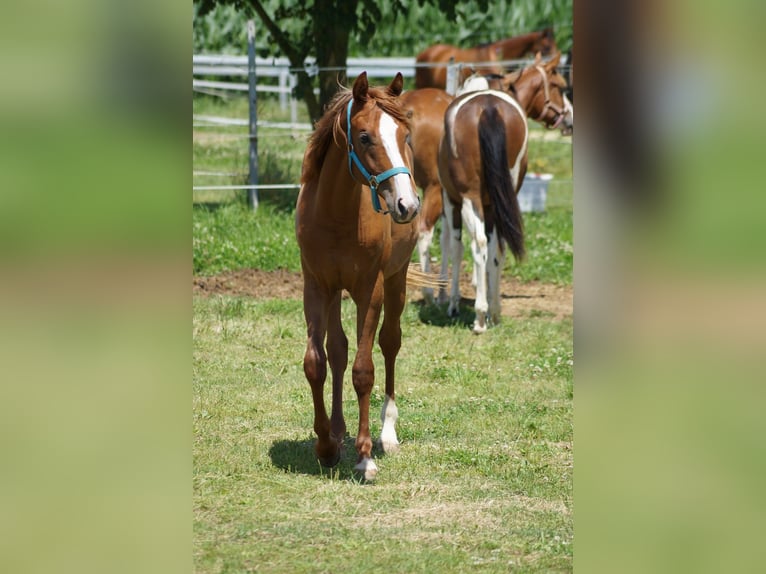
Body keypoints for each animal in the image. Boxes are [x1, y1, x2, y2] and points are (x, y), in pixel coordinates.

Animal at [296, 72, 424, 482]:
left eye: (405, 135)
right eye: (365, 137)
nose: (406, 205)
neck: (337, 215)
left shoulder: (371, 290)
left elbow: (364, 370)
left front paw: (365, 456)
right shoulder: (316, 286)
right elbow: (317, 362)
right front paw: (325, 446)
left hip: (396, 282)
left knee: (389, 343)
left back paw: (387, 433)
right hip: (337, 291)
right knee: (337, 349)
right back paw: (338, 432)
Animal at [438, 54, 568, 336]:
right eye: (560, 86)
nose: (569, 119)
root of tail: (489, 108)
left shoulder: (451, 201)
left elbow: (456, 246)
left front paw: (454, 303)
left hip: (470, 200)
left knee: (478, 244)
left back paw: (480, 317)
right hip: (500, 202)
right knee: (498, 246)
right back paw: (494, 312)